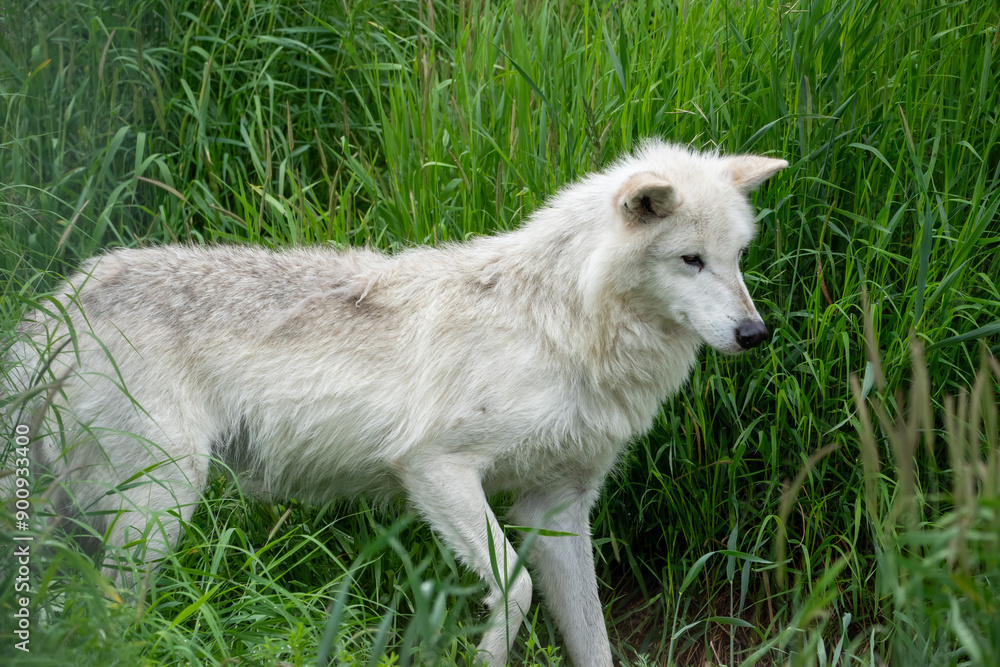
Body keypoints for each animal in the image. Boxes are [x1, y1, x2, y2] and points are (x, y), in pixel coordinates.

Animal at [4, 139, 785, 665]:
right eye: (690, 260)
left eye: (738, 258)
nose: (755, 333)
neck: (562, 327)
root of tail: (56, 306)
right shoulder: (435, 467)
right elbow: (516, 591)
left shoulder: (556, 505)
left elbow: (592, 639)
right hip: (160, 509)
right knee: (103, 614)